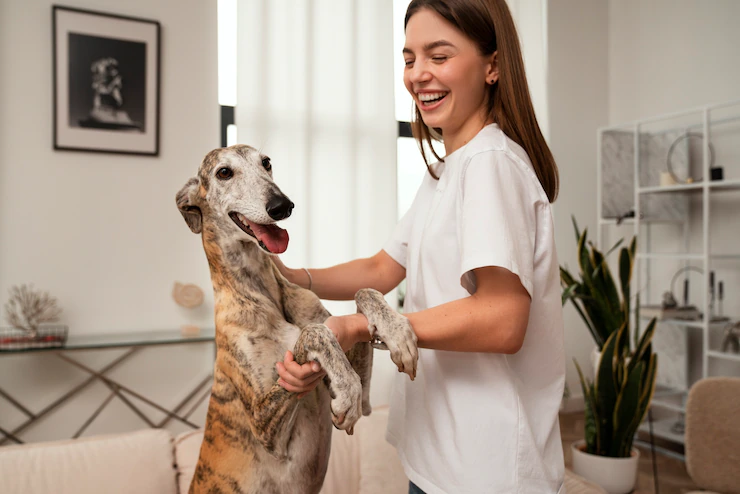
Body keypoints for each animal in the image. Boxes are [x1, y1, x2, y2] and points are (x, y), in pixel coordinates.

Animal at [174, 144, 416, 494]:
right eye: (224, 172)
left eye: (266, 163)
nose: (282, 206)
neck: (263, 291)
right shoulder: (264, 426)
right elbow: (315, 332)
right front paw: (348, 392)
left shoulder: (367, 396)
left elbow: (363, 292)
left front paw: (397, 331)